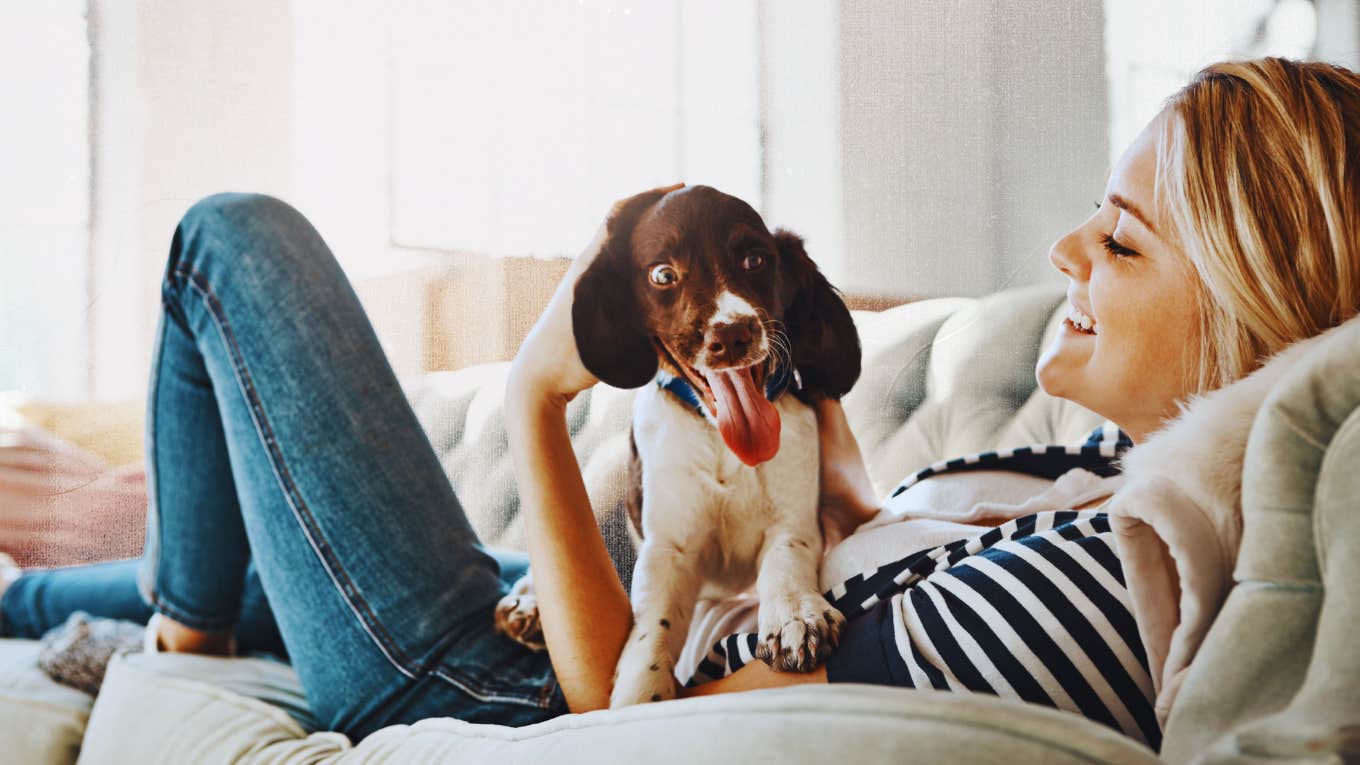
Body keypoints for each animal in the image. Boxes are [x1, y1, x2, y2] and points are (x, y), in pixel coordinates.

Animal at [497, 186, 859, 707]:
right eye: (663, 275)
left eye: (756, 259)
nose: (733, 334)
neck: (719, 438)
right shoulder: (670, 550)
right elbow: (655, 626)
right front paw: (641, 693)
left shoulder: (795, 523)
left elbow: (785, 563)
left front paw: (795, 614)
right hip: (605, 474)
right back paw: (526, 601)